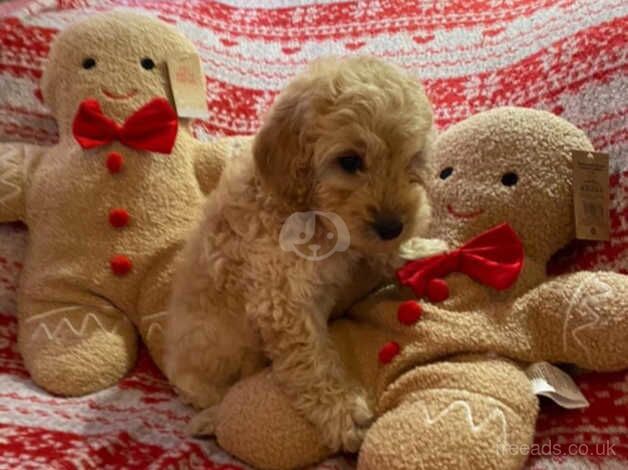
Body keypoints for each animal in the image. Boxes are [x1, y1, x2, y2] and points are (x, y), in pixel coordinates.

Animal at [167, 55, 442, 452]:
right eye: (349, 161)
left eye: (413, 159)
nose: (393, 226)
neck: (314, 215)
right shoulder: (282, 301)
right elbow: (313, 363)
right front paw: (344, 415)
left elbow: (375, 252)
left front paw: (418, 249)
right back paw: (210, 420)